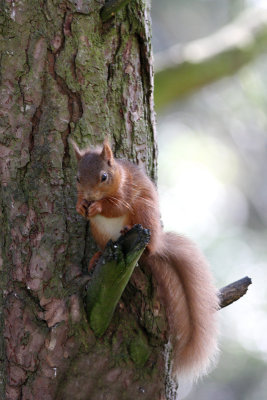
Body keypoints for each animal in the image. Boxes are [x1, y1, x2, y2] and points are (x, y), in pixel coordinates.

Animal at [71, 139, 220, 382]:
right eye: (77, 178)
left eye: (104, 177)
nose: (90, 197)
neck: (119, 176)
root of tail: (157, 244)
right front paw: (80, 205)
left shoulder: (127, 191)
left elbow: (116, 206)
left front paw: (99, 206)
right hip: (99, 232)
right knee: (104, 246)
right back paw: (97, 256)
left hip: (144, 210)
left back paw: (130, 232)